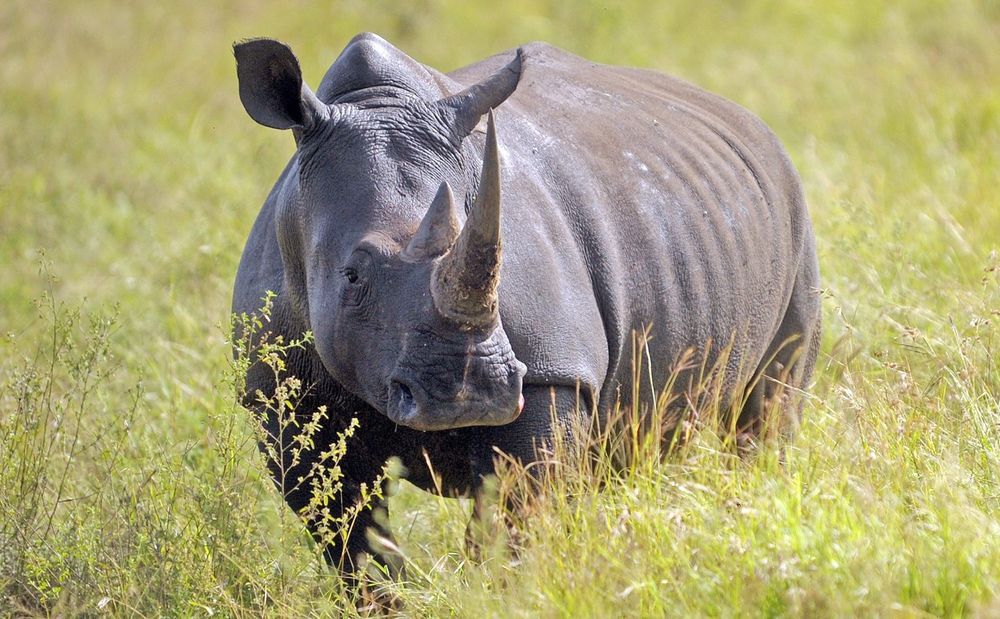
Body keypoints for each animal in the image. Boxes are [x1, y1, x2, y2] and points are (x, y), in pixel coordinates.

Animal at [231, 33, 820, 578]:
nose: (469, 396)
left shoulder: (549, 371)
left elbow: (517, 511)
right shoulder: (280, 397)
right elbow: (350, 536)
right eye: (351, 277)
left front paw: (498, 590)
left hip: (790, 214)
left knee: (767, 409)